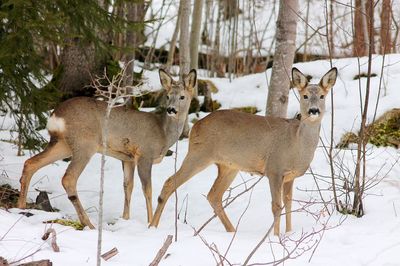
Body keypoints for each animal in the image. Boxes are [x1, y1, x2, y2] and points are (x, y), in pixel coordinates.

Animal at [18, 68, 196, 229]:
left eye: (182, 96)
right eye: (167, 96)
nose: (171, 109)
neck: (163, 133)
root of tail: (56, 116)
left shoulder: (128, 158)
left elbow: (128, 186)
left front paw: (125, 219)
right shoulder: (145, 154)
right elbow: (148, 190)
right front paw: (150, 223)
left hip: (63, 144)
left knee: (30, 163)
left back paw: (21, 208)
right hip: (85, 144)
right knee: (68, 178)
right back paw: (88, 224)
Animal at [150, 67, 338, 236]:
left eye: (322, 96)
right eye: (304, 96)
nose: (313, 110)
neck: (296, 145)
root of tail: (196, 125)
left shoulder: (290, 176)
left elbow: (289, 204)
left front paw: (289, 233)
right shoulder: (274, 169)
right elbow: (276, 206)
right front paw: (276, 237)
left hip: (228, 166)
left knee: (213, 195)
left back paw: (232, 231)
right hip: (199, 154)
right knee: (170, 182)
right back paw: (152, 226)